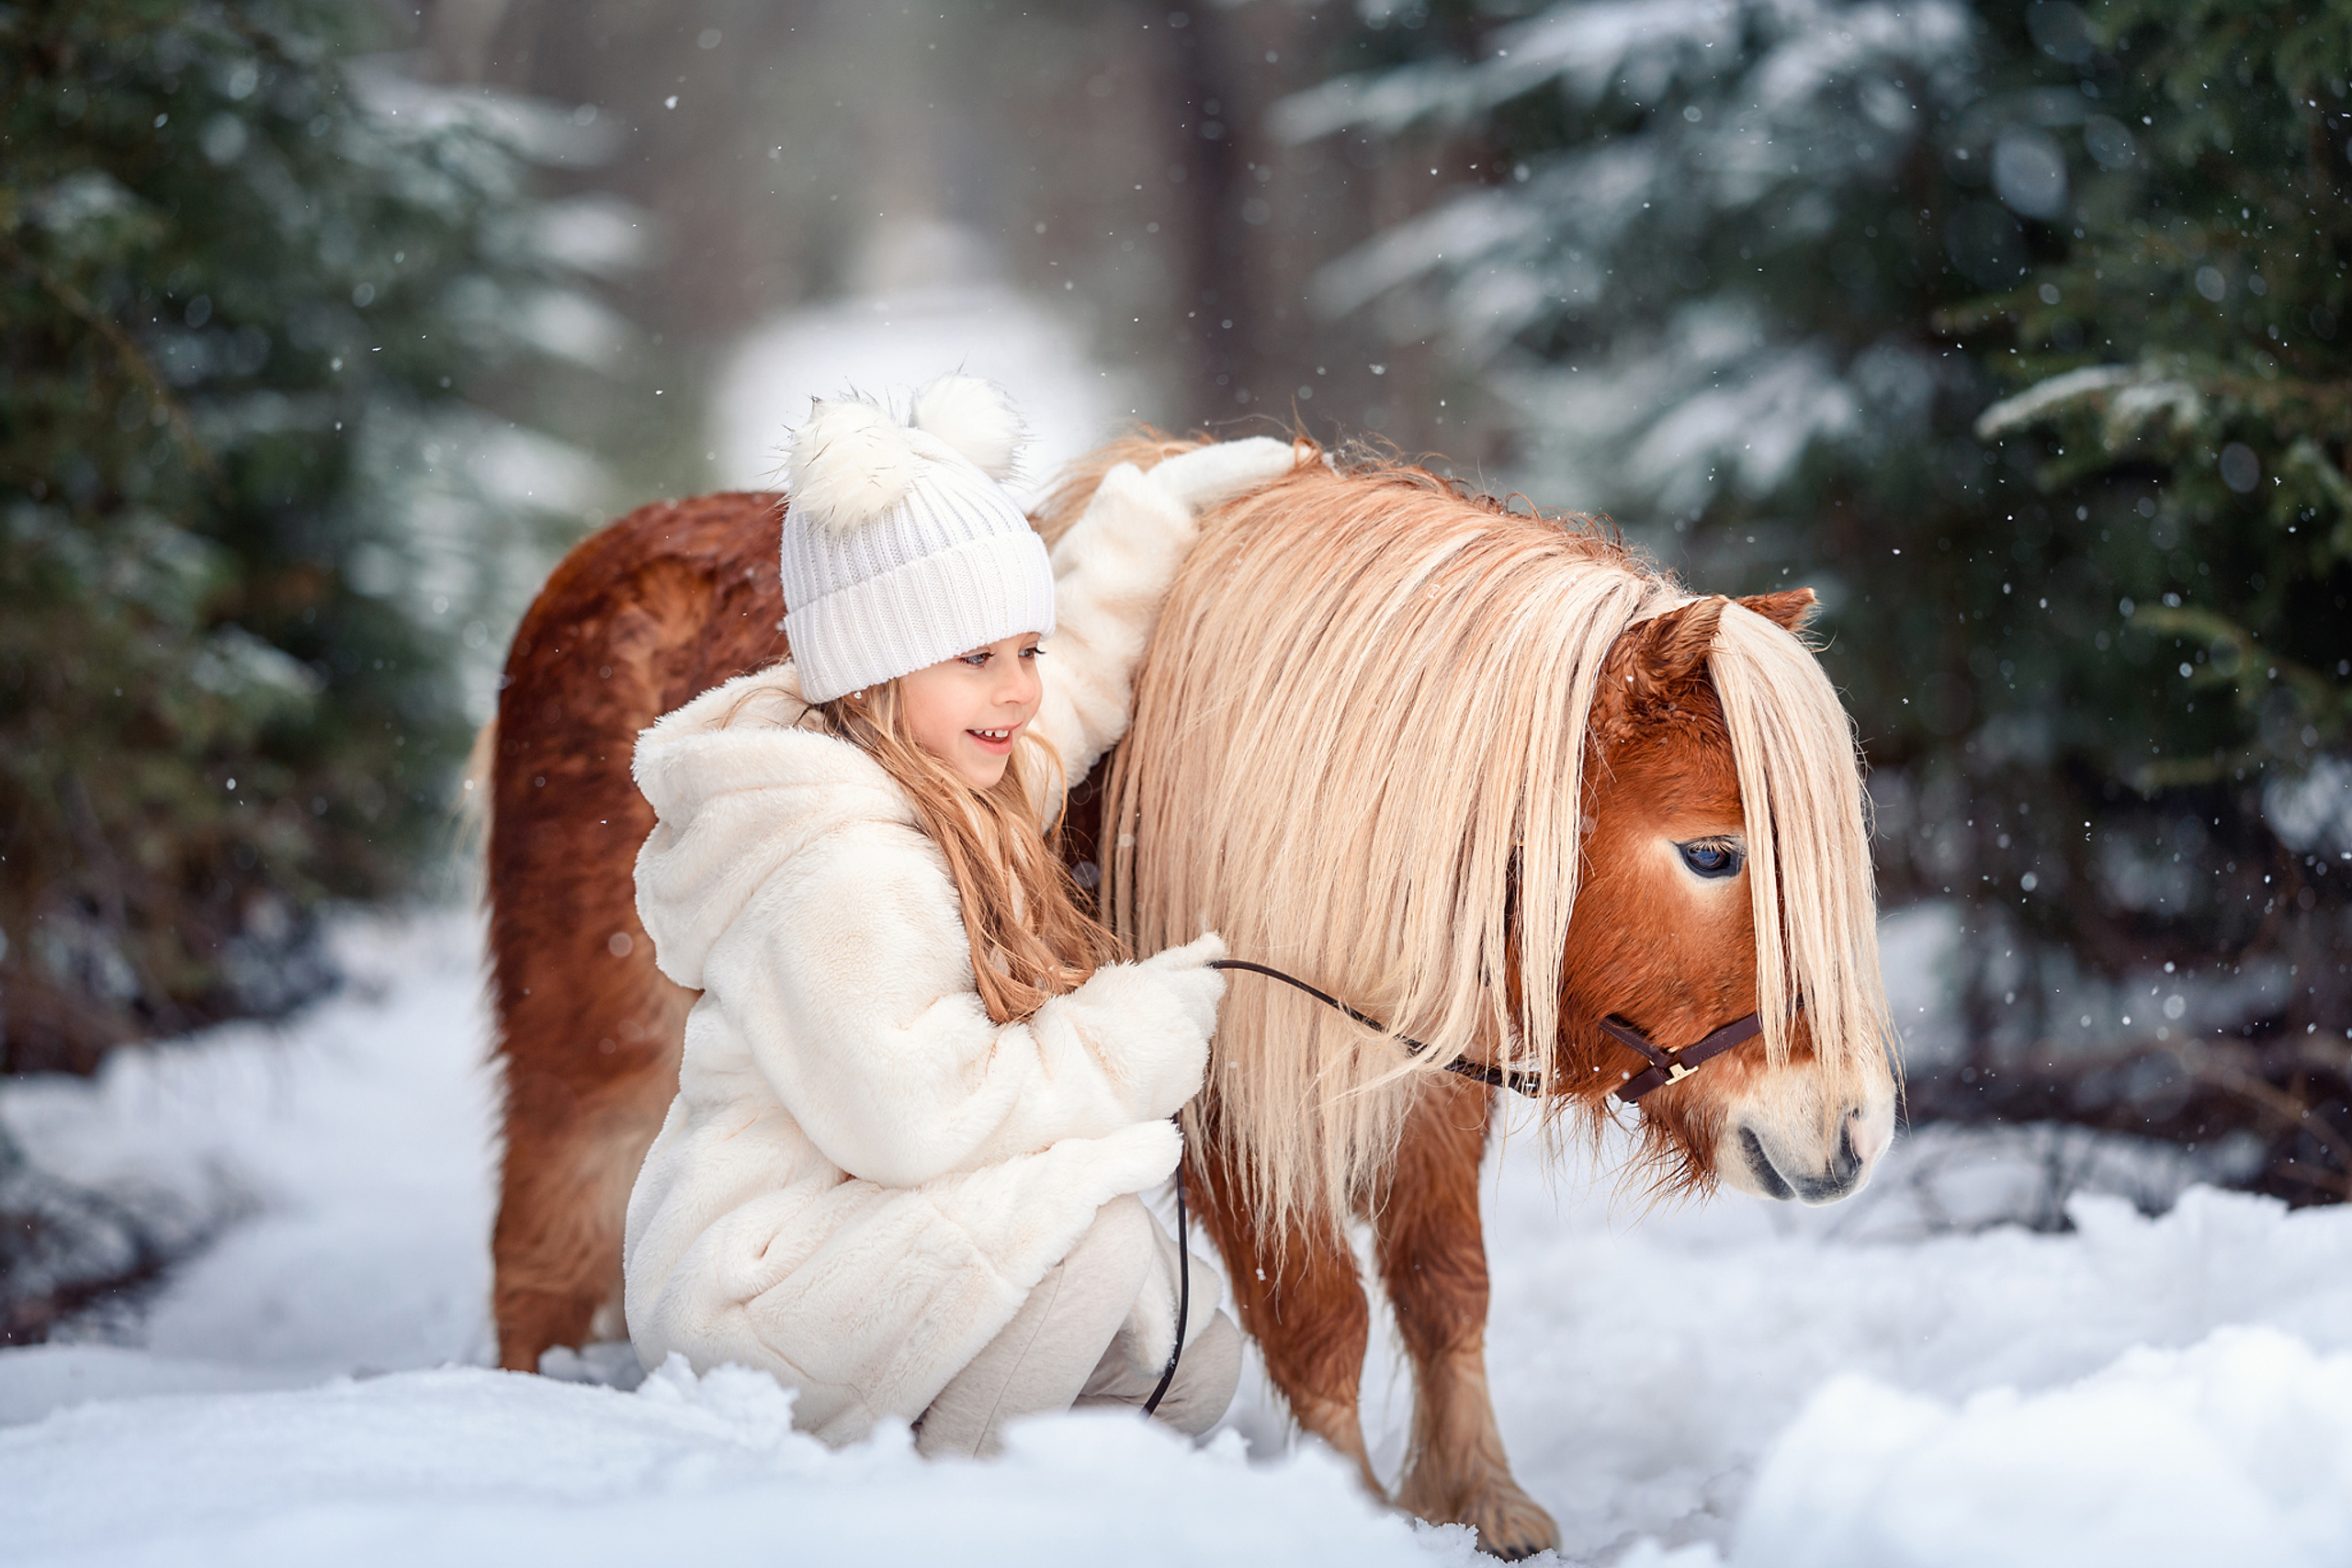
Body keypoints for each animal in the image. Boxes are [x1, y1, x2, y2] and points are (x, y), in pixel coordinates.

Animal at [482, 436, 1899, 1559]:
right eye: (1712, 852)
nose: (1850, 1131)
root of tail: (607, 555)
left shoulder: (1428, 1094)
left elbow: (1447, 1287)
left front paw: (1481, 1500)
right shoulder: (1234, 1123)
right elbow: (1320, 1319)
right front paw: (1350, 1519)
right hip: (587, 1060)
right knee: (540, 1252)